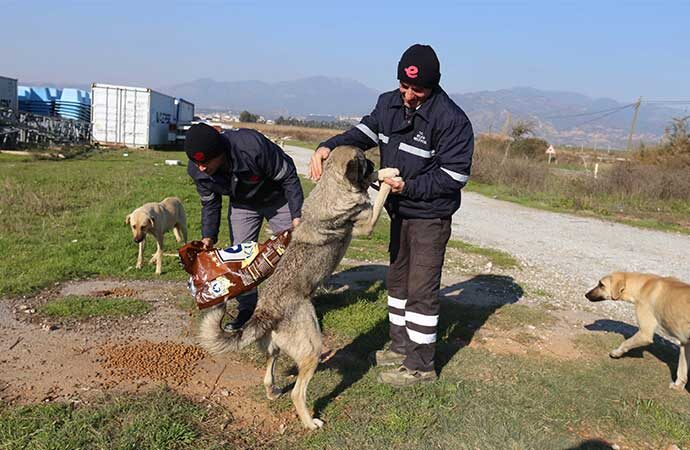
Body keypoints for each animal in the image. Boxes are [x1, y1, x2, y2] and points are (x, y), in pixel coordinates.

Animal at [198, 147, 398, 428]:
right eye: (363, 160)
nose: (373, 161)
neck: (332, 186)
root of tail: (265, 312)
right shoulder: (367, 224)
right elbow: (378, 197)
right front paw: (388, 175)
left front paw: (385, 172)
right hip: (312, 349)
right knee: (297, 393)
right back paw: (310, 422)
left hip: (275, 348)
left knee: (268, 375)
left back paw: (273, 392)